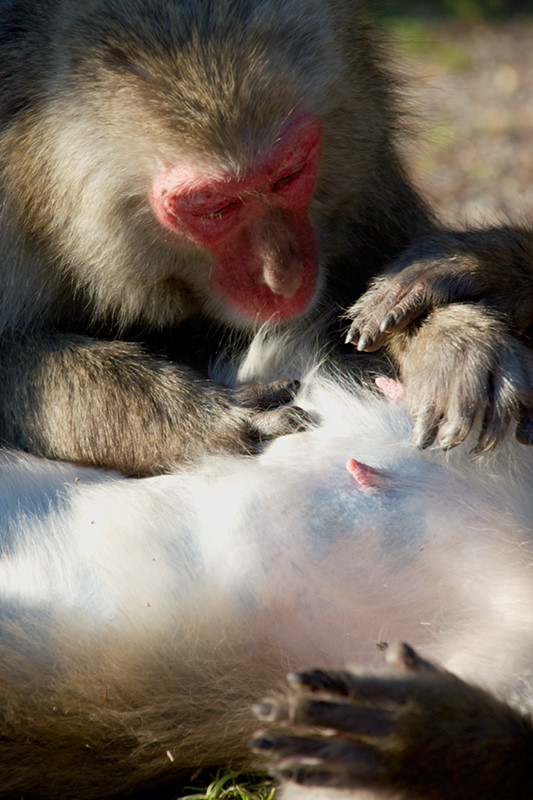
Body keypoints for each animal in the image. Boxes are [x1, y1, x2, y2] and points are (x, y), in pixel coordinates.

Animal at [2, 0, 533, 478]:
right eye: (213, 207)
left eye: (288, 174)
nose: (284, 276)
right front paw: (191, 417)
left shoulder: (361, 161)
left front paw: (450, 334)